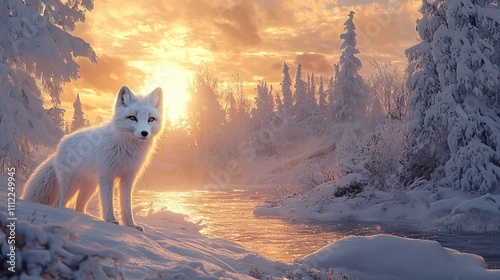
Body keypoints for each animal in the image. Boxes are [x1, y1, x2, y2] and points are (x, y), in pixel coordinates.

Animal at [22, 86, 162, 231]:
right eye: (132, 118)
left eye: (151, 119)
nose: (144, 133)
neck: (126, 149)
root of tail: (58, 147)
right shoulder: (107, 176)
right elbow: (107, 202)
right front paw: (111, 221)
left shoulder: (128, 178)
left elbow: (126, 205)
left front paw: (130, 225)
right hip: (70, 186)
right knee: (59, 202)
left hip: (89, 188)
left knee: (79, 207)